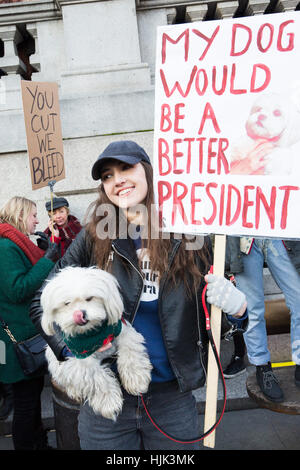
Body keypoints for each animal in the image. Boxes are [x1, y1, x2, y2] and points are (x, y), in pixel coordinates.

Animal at [40, 266, 152, 420]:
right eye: (67, 303)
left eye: (89, 298)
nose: (80, 314)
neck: (92, 334)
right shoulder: (81, 358)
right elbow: (97, 377)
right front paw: (109, 402)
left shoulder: (123, 332)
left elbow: (130, 354)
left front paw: (136, 379)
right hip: (55, 360)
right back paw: (74, 390)